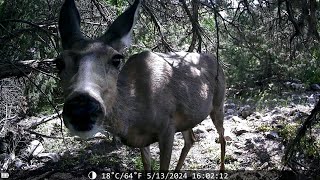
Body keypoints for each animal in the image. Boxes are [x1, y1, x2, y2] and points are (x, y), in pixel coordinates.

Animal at [55, 0, 225, 171]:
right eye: (59, 62)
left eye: (116, 59)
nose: (81, 109)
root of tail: (215, 59)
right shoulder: (144, 139)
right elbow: (146, 166)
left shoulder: (167, 128)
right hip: (187, 118)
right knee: (191, 139)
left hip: (218, 102)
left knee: (221, 136)